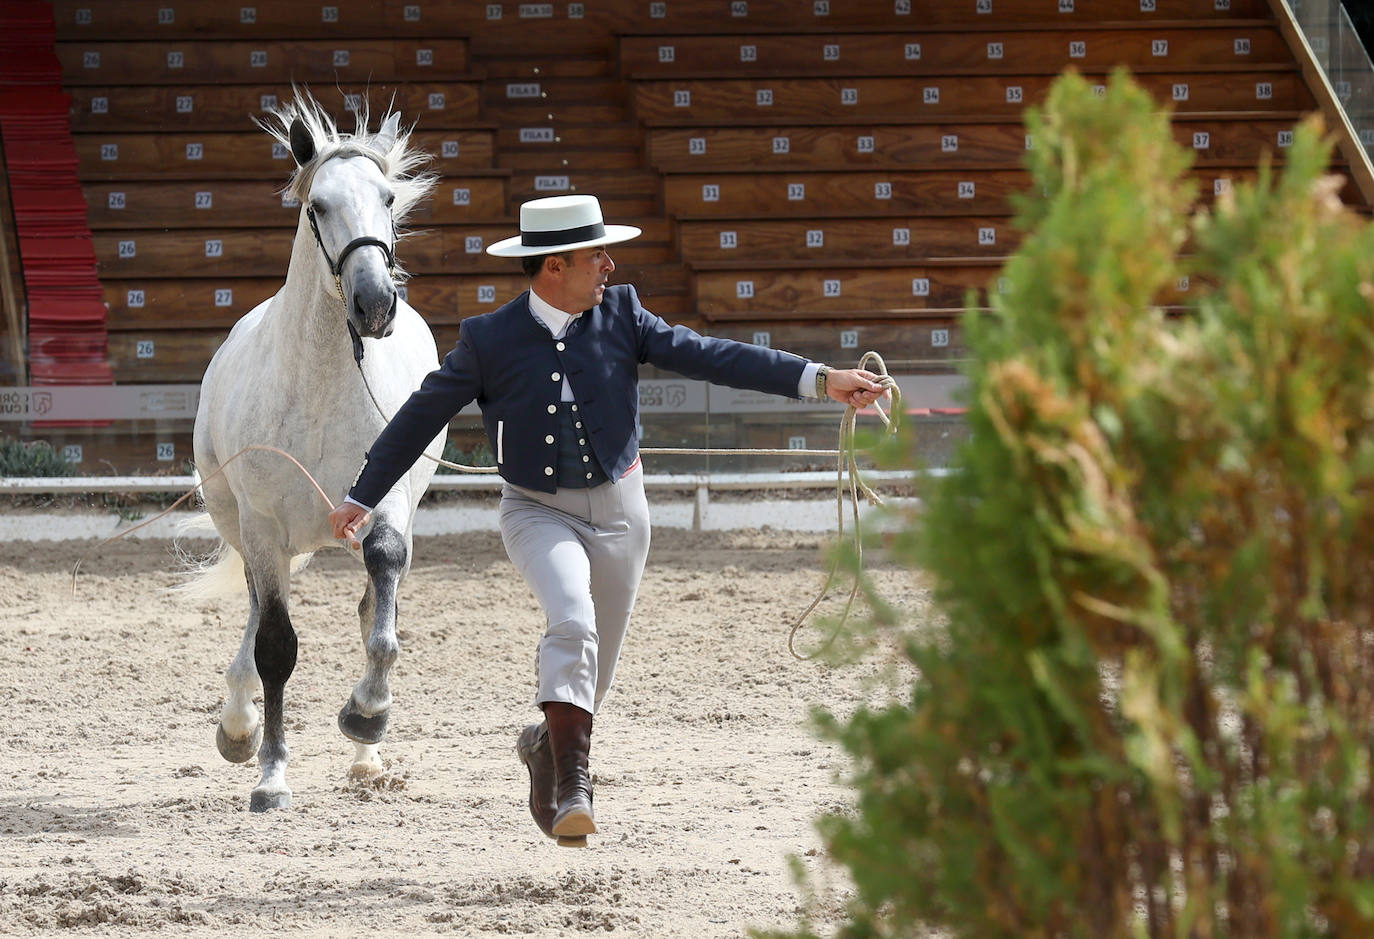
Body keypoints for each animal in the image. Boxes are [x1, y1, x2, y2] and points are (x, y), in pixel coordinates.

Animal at [189, 97, 439, 813]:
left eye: (388, 198)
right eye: (317, 206)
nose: (375, 304)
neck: (323, 384)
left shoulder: (384, 507)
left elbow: (382, 619)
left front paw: (366, 716)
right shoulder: (263, 526)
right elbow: (275, 646)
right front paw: (270, 773)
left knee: (368, 607)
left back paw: (365, 760)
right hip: (244, 529)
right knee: (254, 613)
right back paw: (239, 728)